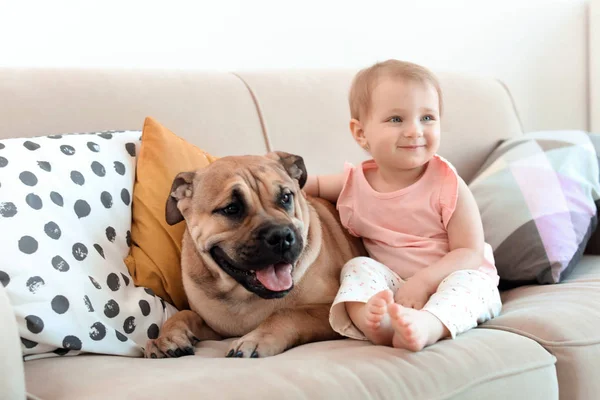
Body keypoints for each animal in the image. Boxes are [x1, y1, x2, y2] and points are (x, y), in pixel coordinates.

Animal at [146, 152, 366, 358]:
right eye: (231, 208)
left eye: (286, 197)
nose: (281, 236)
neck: (244, 296)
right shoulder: (215, 328)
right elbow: (184, 314)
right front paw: (165, 337)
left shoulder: (331, 310)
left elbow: (288, 312)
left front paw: (255, 339)